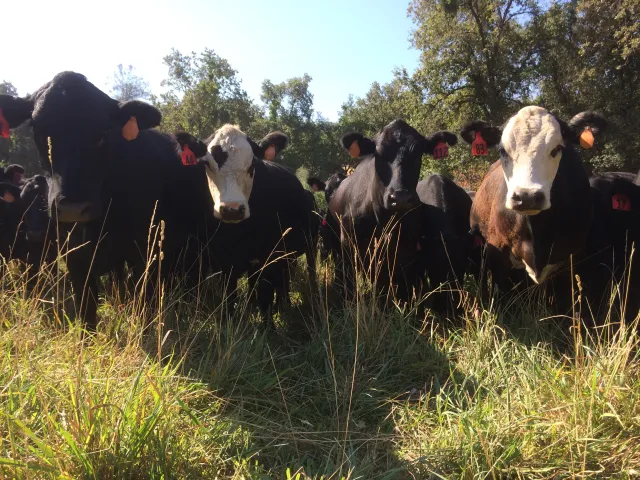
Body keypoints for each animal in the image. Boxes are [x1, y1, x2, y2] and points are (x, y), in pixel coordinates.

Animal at [0, 71, 216, 329]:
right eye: (38, 128)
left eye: (104, 131)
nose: (73, 208)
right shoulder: (75, 258)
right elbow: (87, 313)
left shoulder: (146, 254)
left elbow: (145, 309)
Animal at [174, 127, 318, 326]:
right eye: (207, 164)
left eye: (252, 165)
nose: (232, 209)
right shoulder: (222, 261)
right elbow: (229, 298)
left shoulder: (267, 256)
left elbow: (265, 296)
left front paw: (268, 327)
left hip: (305, 249)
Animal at [328, 119, 458, 309]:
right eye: (379, 154)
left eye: (418, 155)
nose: (400, 197)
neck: (383, 219)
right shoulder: (349, 246)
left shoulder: (406, 253)